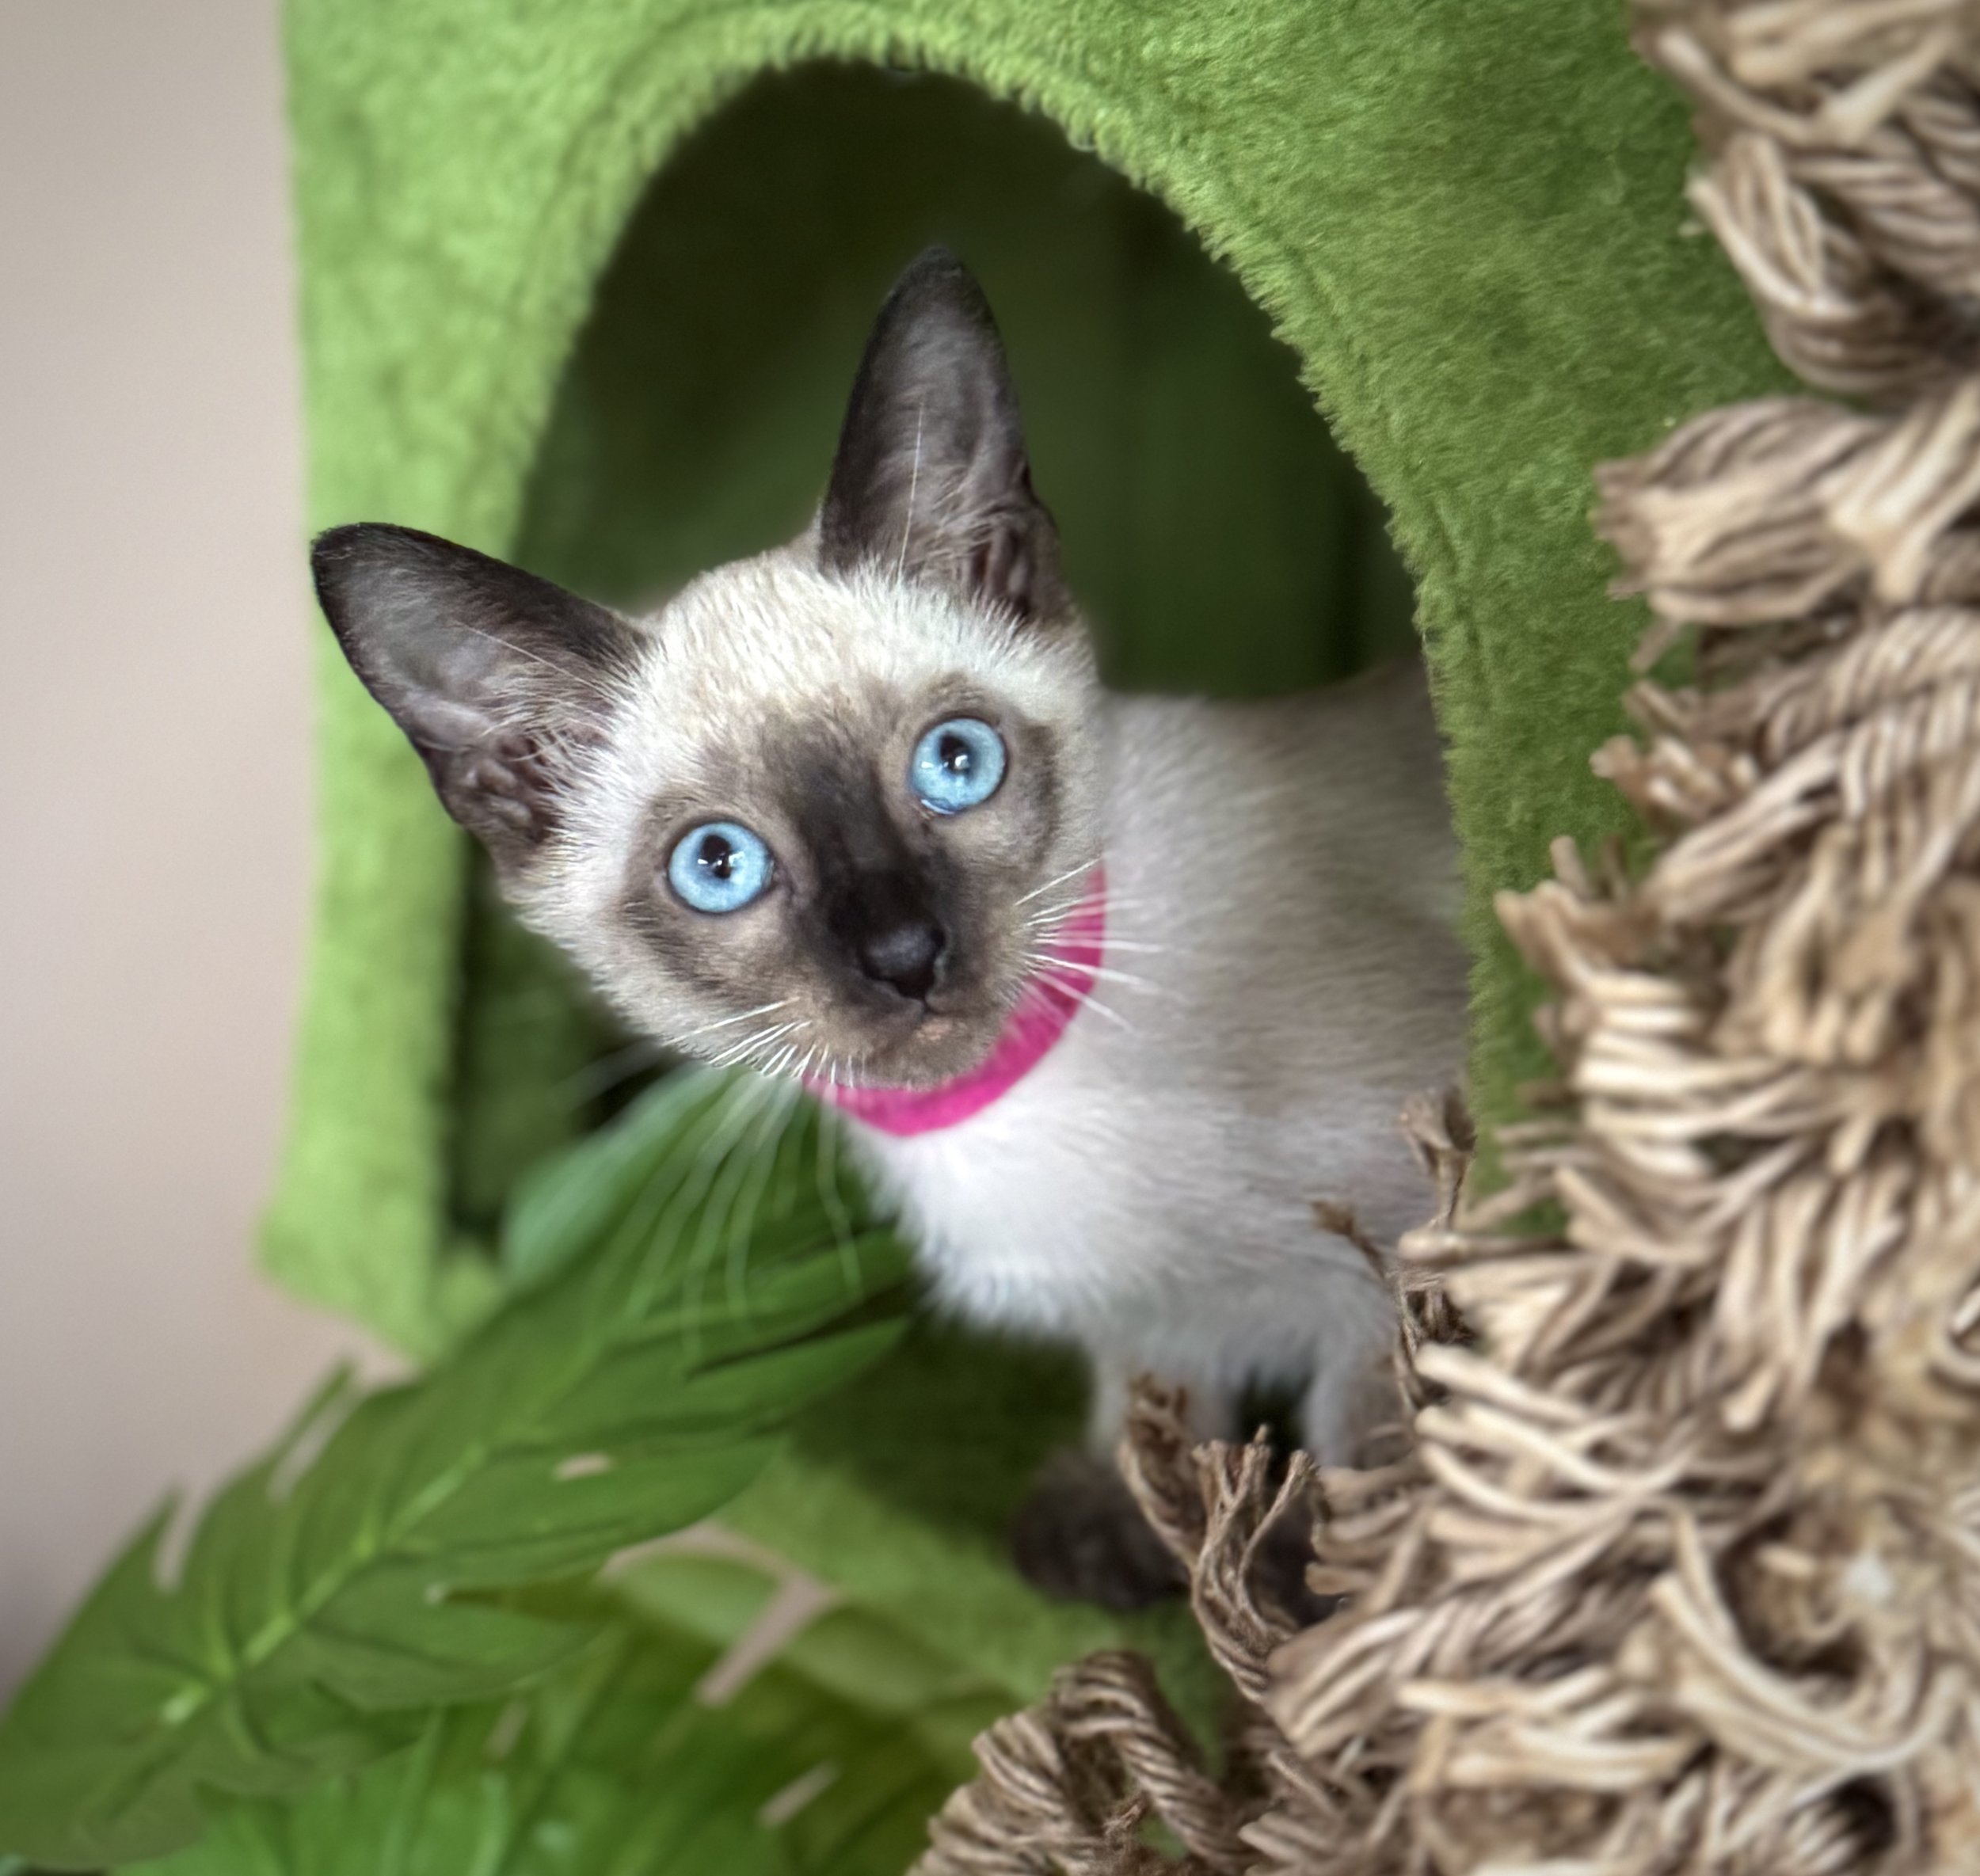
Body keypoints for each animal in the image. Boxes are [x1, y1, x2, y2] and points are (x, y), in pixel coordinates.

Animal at [313, 247, 1466, 1607]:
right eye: (719, 866)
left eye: (955, 764)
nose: (907, 958)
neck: (1006, 1130)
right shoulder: (1148, 1318)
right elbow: (1158, 1404)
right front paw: (1139, 1538)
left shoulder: (1405, 1243)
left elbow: (1369, 1449)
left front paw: (1326, 1626)